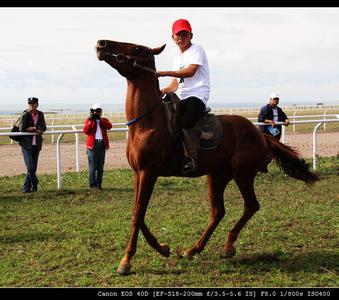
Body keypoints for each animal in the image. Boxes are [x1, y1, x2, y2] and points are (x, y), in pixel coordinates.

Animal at [95, 39, 318, 274]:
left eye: (136, 48)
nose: (102, 43)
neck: (147, 124)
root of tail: (260, 135)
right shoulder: (139, 174)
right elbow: (138, 213)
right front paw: (163, 248)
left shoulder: (149, 173)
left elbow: (138, 214)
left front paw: (126, 260)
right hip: (217, 176)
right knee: (218, 211)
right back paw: (194, 249)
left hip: (243, 174)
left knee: (251, 206)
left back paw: (228, 246)